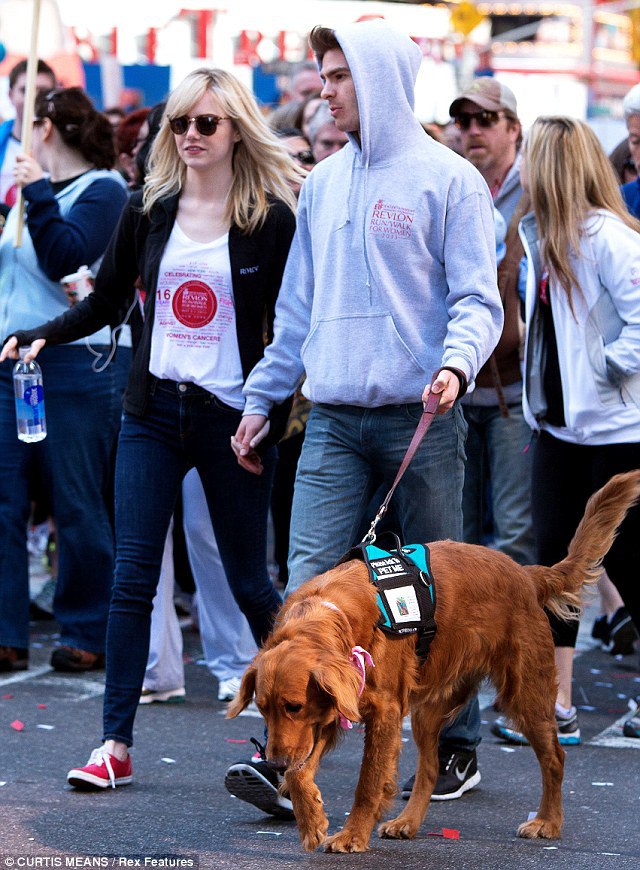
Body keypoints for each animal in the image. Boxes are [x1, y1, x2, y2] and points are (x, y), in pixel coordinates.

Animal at [228, 474, 636, 856]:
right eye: (261, 709)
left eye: (293, 706)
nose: (274, 763)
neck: (335, 614)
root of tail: (526, 573)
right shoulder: (332, 707)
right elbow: (303, 771)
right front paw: (311, 818)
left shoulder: (383, 711)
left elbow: (367, 782)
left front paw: (352, 834)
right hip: (429, 707)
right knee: (428, 769)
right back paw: (407, 822)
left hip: (526, 695)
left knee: (554, 757)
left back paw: (548, 821)